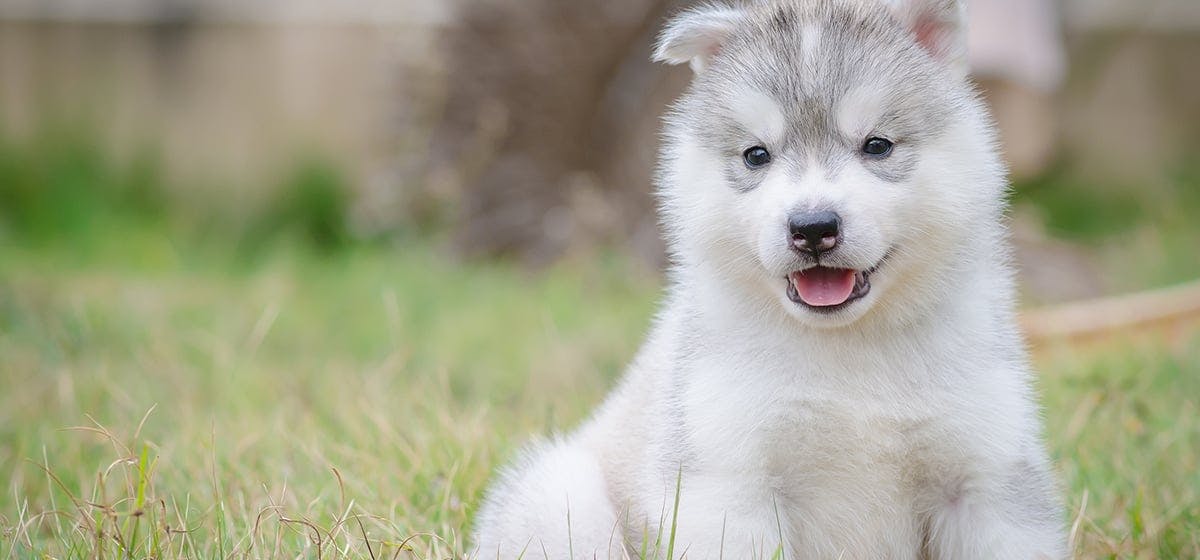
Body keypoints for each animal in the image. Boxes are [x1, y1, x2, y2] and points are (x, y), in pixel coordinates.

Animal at [472, 1, 1065, 556]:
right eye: (756, 155)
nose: (813, 227)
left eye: (877, 145)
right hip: (562, 497)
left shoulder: (986, 477)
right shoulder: (728, 480)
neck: (847, 352)